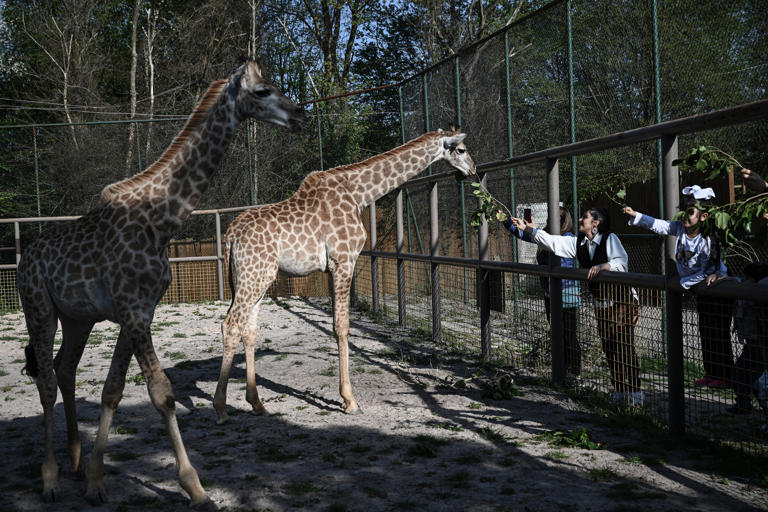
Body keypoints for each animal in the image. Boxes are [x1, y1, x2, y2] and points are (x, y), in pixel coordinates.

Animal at [16, 61, 304, 508]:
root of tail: (23, 259)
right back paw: (50, 478)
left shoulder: (137, 313)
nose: (299, 115)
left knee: (65, 368)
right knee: (46, 380)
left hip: (78, 318)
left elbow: (113, 390)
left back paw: (75, 459)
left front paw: (96, 480)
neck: (161, 222)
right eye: (262, 90)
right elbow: (162, 392)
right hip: (38, 308)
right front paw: (195, 487)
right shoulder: (133, 313)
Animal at [212, 129, 474, 424]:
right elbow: (342, 327)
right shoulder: (344, 261)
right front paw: (349, 400)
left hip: (257, 277)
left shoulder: (331, 268)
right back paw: (220, 407)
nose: (473, 170)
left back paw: (257, 404)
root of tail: (231, 234)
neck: (359, 193)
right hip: (254, 275)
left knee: (249, 330)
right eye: (462, 149)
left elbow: (337, 324)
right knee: (230, 324)